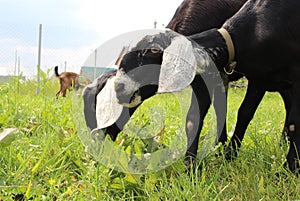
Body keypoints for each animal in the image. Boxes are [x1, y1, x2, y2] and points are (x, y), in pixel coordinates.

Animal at [113, 0, 298, 173]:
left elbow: (244, 112)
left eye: (145, 55)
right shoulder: (209, 77)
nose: (118, 90)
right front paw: (197, 162)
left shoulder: (256, 77)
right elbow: (200, 115)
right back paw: (283, 142)